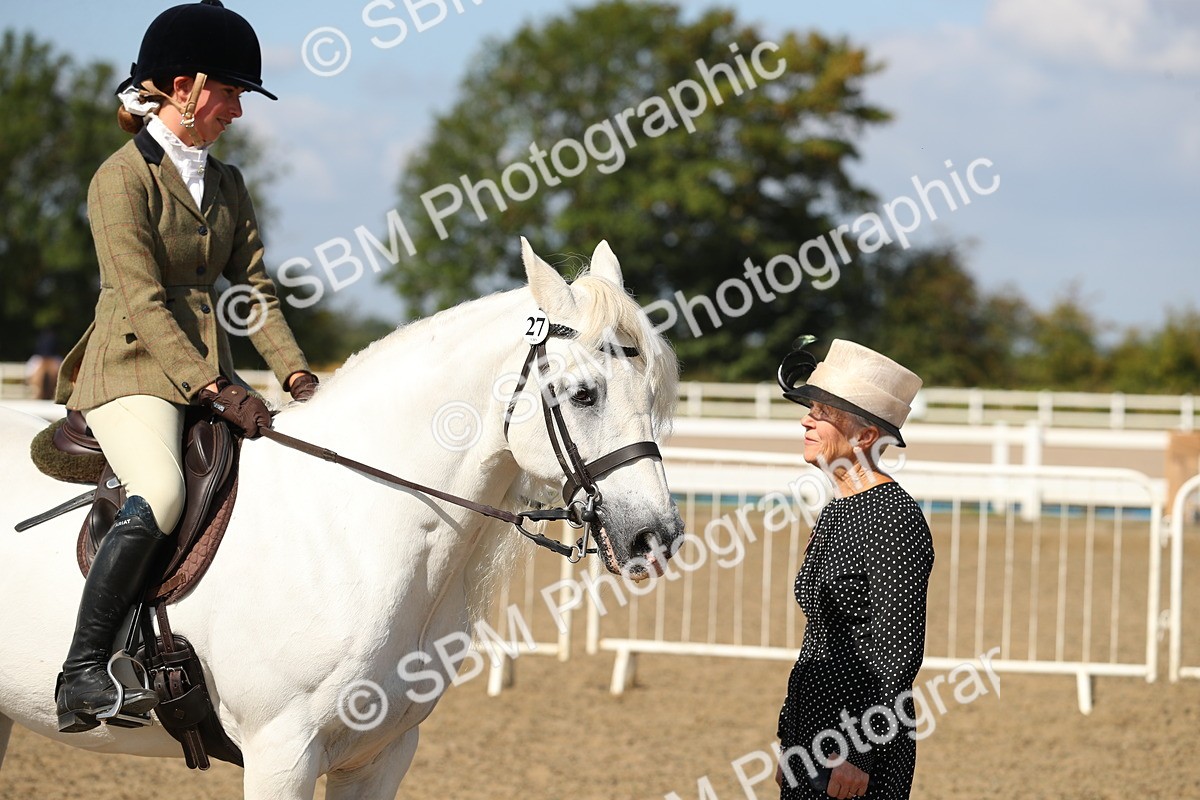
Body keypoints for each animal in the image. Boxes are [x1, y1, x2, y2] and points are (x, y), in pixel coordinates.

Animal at [0, 238, 683, 799]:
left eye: (653, 393)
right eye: (584, 394)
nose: (657, 537)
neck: (352, 531)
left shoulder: (381, 754)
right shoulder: (281, 756)